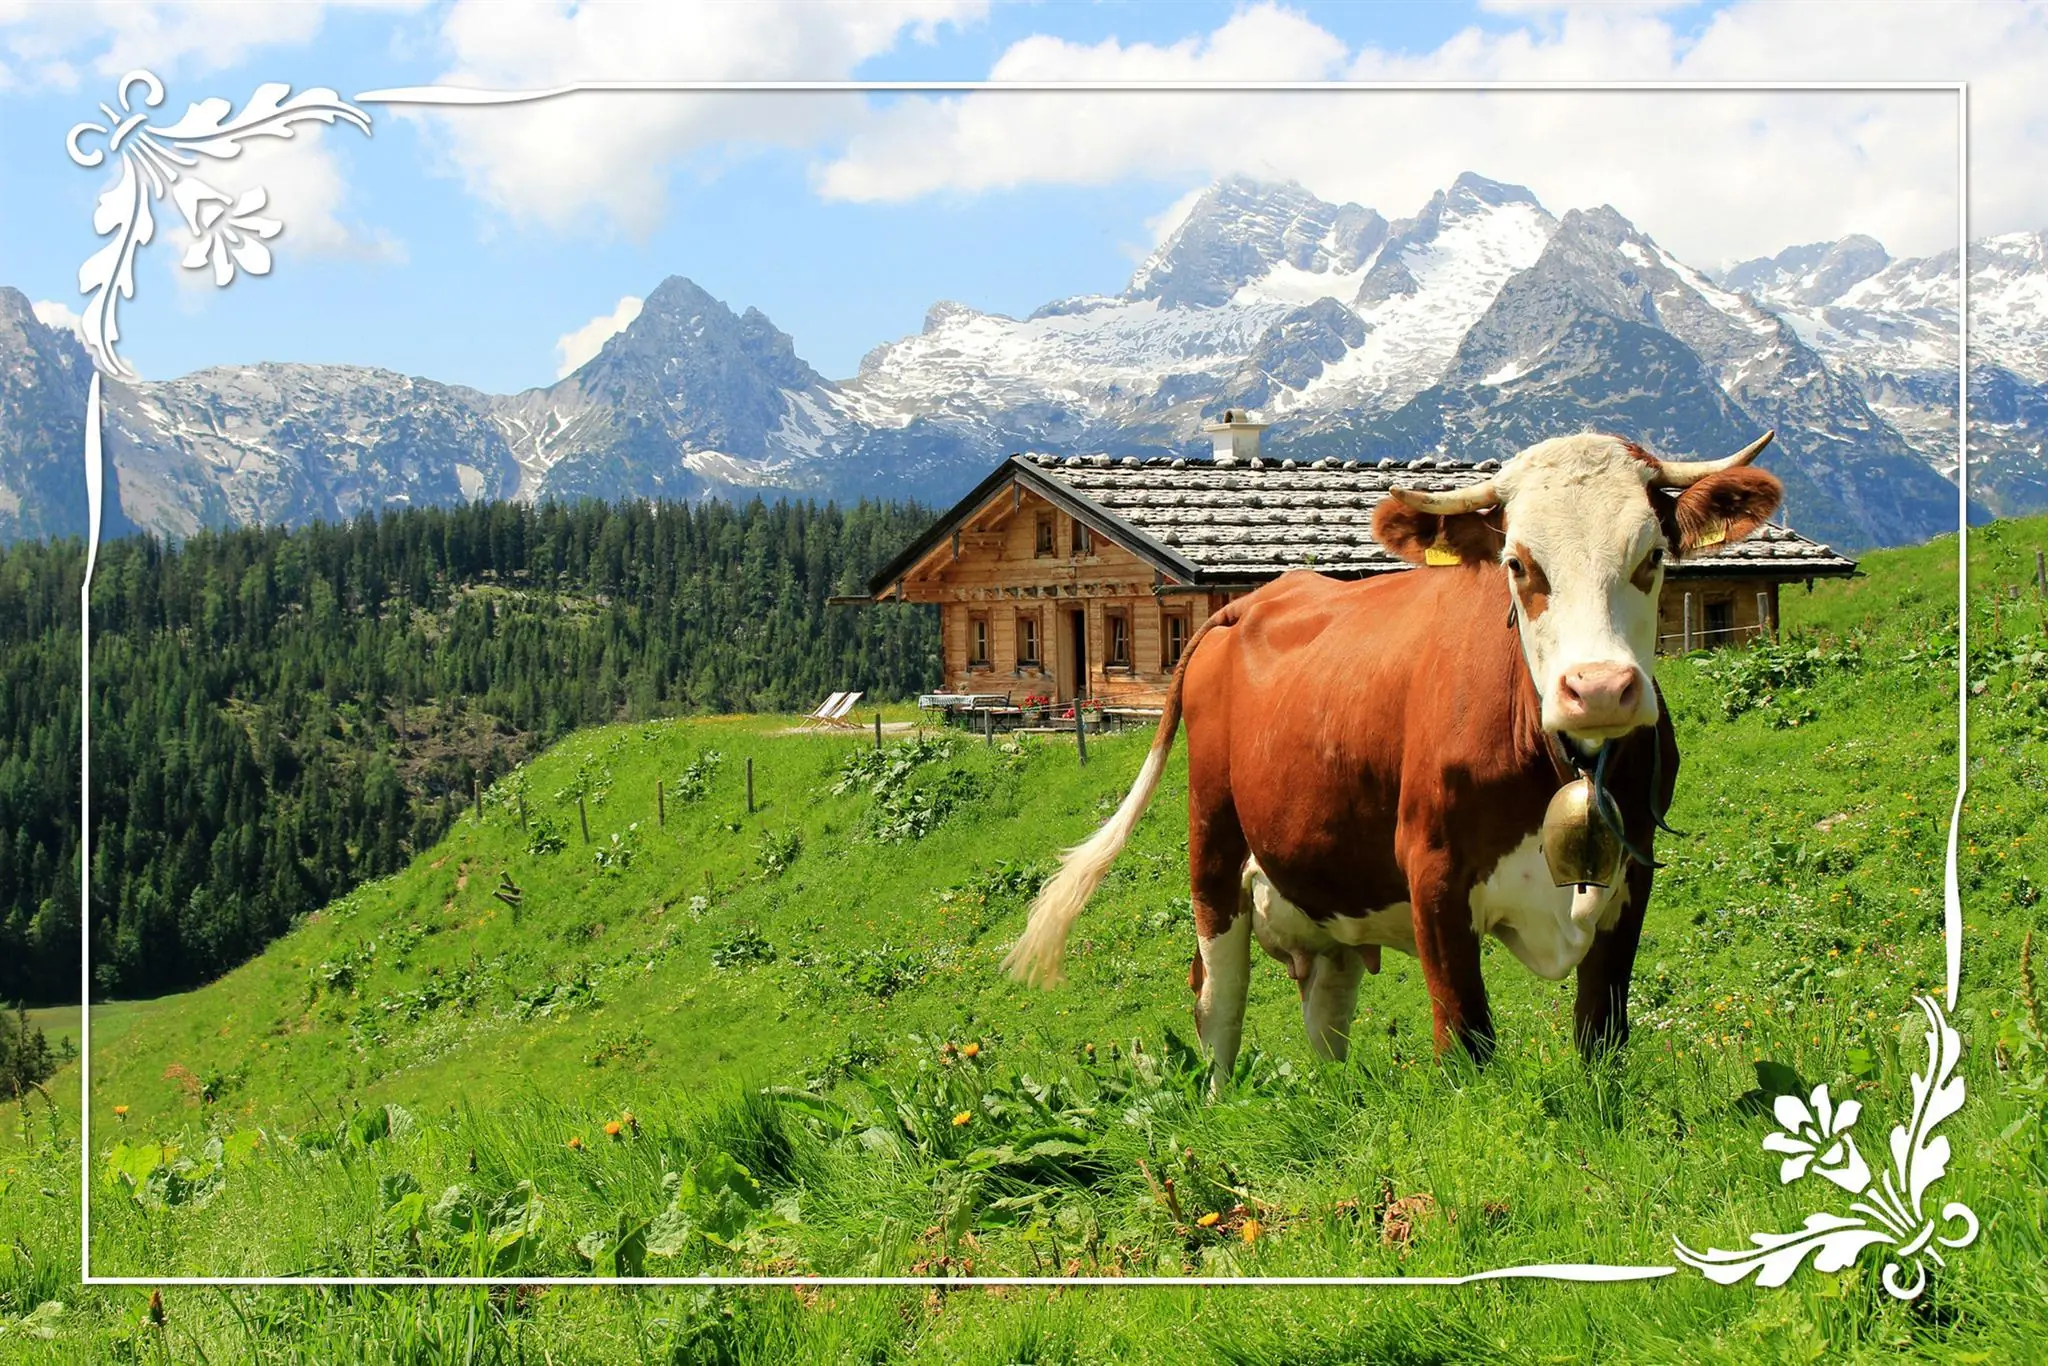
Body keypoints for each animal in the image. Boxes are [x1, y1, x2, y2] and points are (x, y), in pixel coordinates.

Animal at [1002, 431, 1783, 1087]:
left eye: (1651, 558)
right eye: (1517, 563)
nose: (1597, 689)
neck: (1563, 764)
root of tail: (1249, 602)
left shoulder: (1631, 877)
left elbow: (1602, 1035)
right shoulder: (1433, 874)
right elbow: (1467, 1042)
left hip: (1327, 879)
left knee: (1325, 1005)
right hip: (1213, 844)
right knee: (1218, 999)